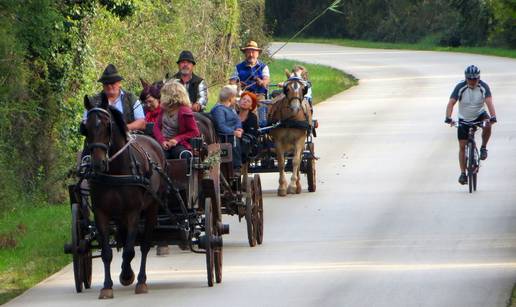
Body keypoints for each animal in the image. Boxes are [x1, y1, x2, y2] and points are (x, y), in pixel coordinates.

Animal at [83, 94, 166, 300]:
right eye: (85, 127)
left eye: (107, 125)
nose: (98, 163)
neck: (115, 171)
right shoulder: (101, 213)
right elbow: (106, 252)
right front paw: (107, 286)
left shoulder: (133, 212)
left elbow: (129, 250)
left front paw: (127, 275)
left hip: (152, 207)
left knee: (144, 245)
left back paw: (141, 280)